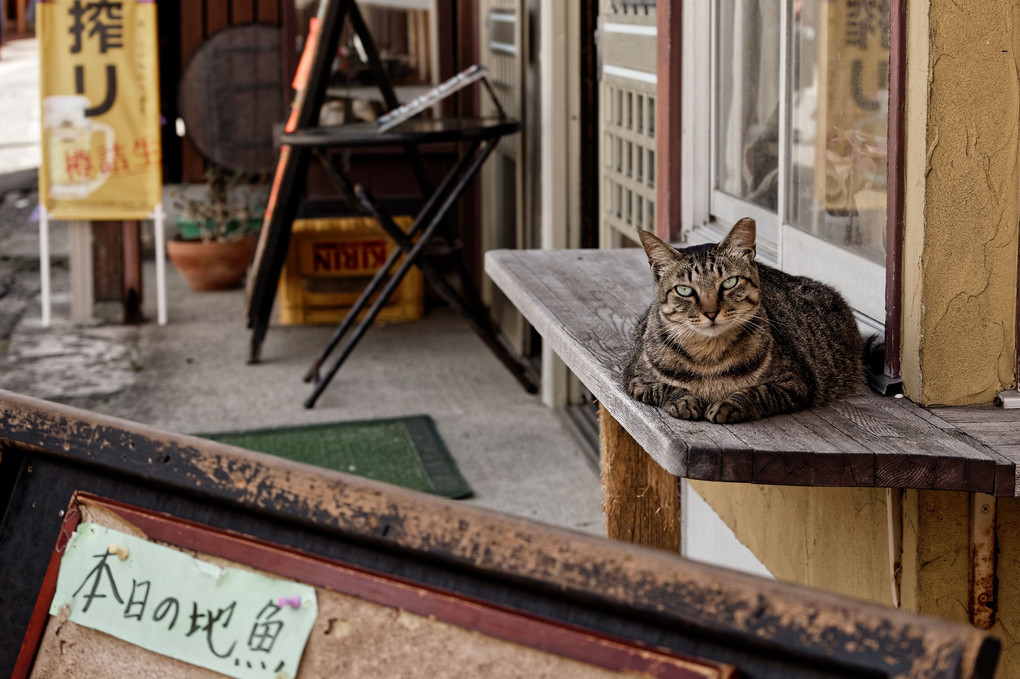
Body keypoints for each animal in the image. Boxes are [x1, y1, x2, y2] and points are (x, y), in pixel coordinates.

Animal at [620, 217, 860, 420]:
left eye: (729, 282)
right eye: (684, 290)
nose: (711, 312)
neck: (709, 357)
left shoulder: (795, 383)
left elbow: (759, 392)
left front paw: (729, 405)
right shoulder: (636, 378)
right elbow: (662, 387)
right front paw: (683, 400)